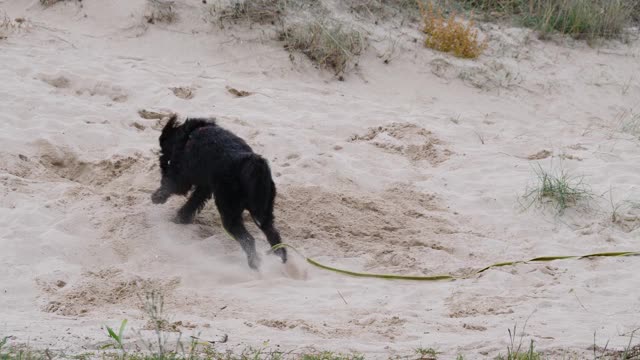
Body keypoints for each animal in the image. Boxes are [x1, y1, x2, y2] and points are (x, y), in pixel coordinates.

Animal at [151, 116, 286, 270]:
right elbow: (193, 202)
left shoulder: (181, 176)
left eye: (163, 151)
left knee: (248, 239)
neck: (189, 135)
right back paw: (281, 260)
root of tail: (252, 166)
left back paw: (255, 264)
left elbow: (171, 186)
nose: (161, 163)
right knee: (273, 234)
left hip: (230, 213)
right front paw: (180, 218)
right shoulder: (205, 186)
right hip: (263, 213)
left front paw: (157, 198)